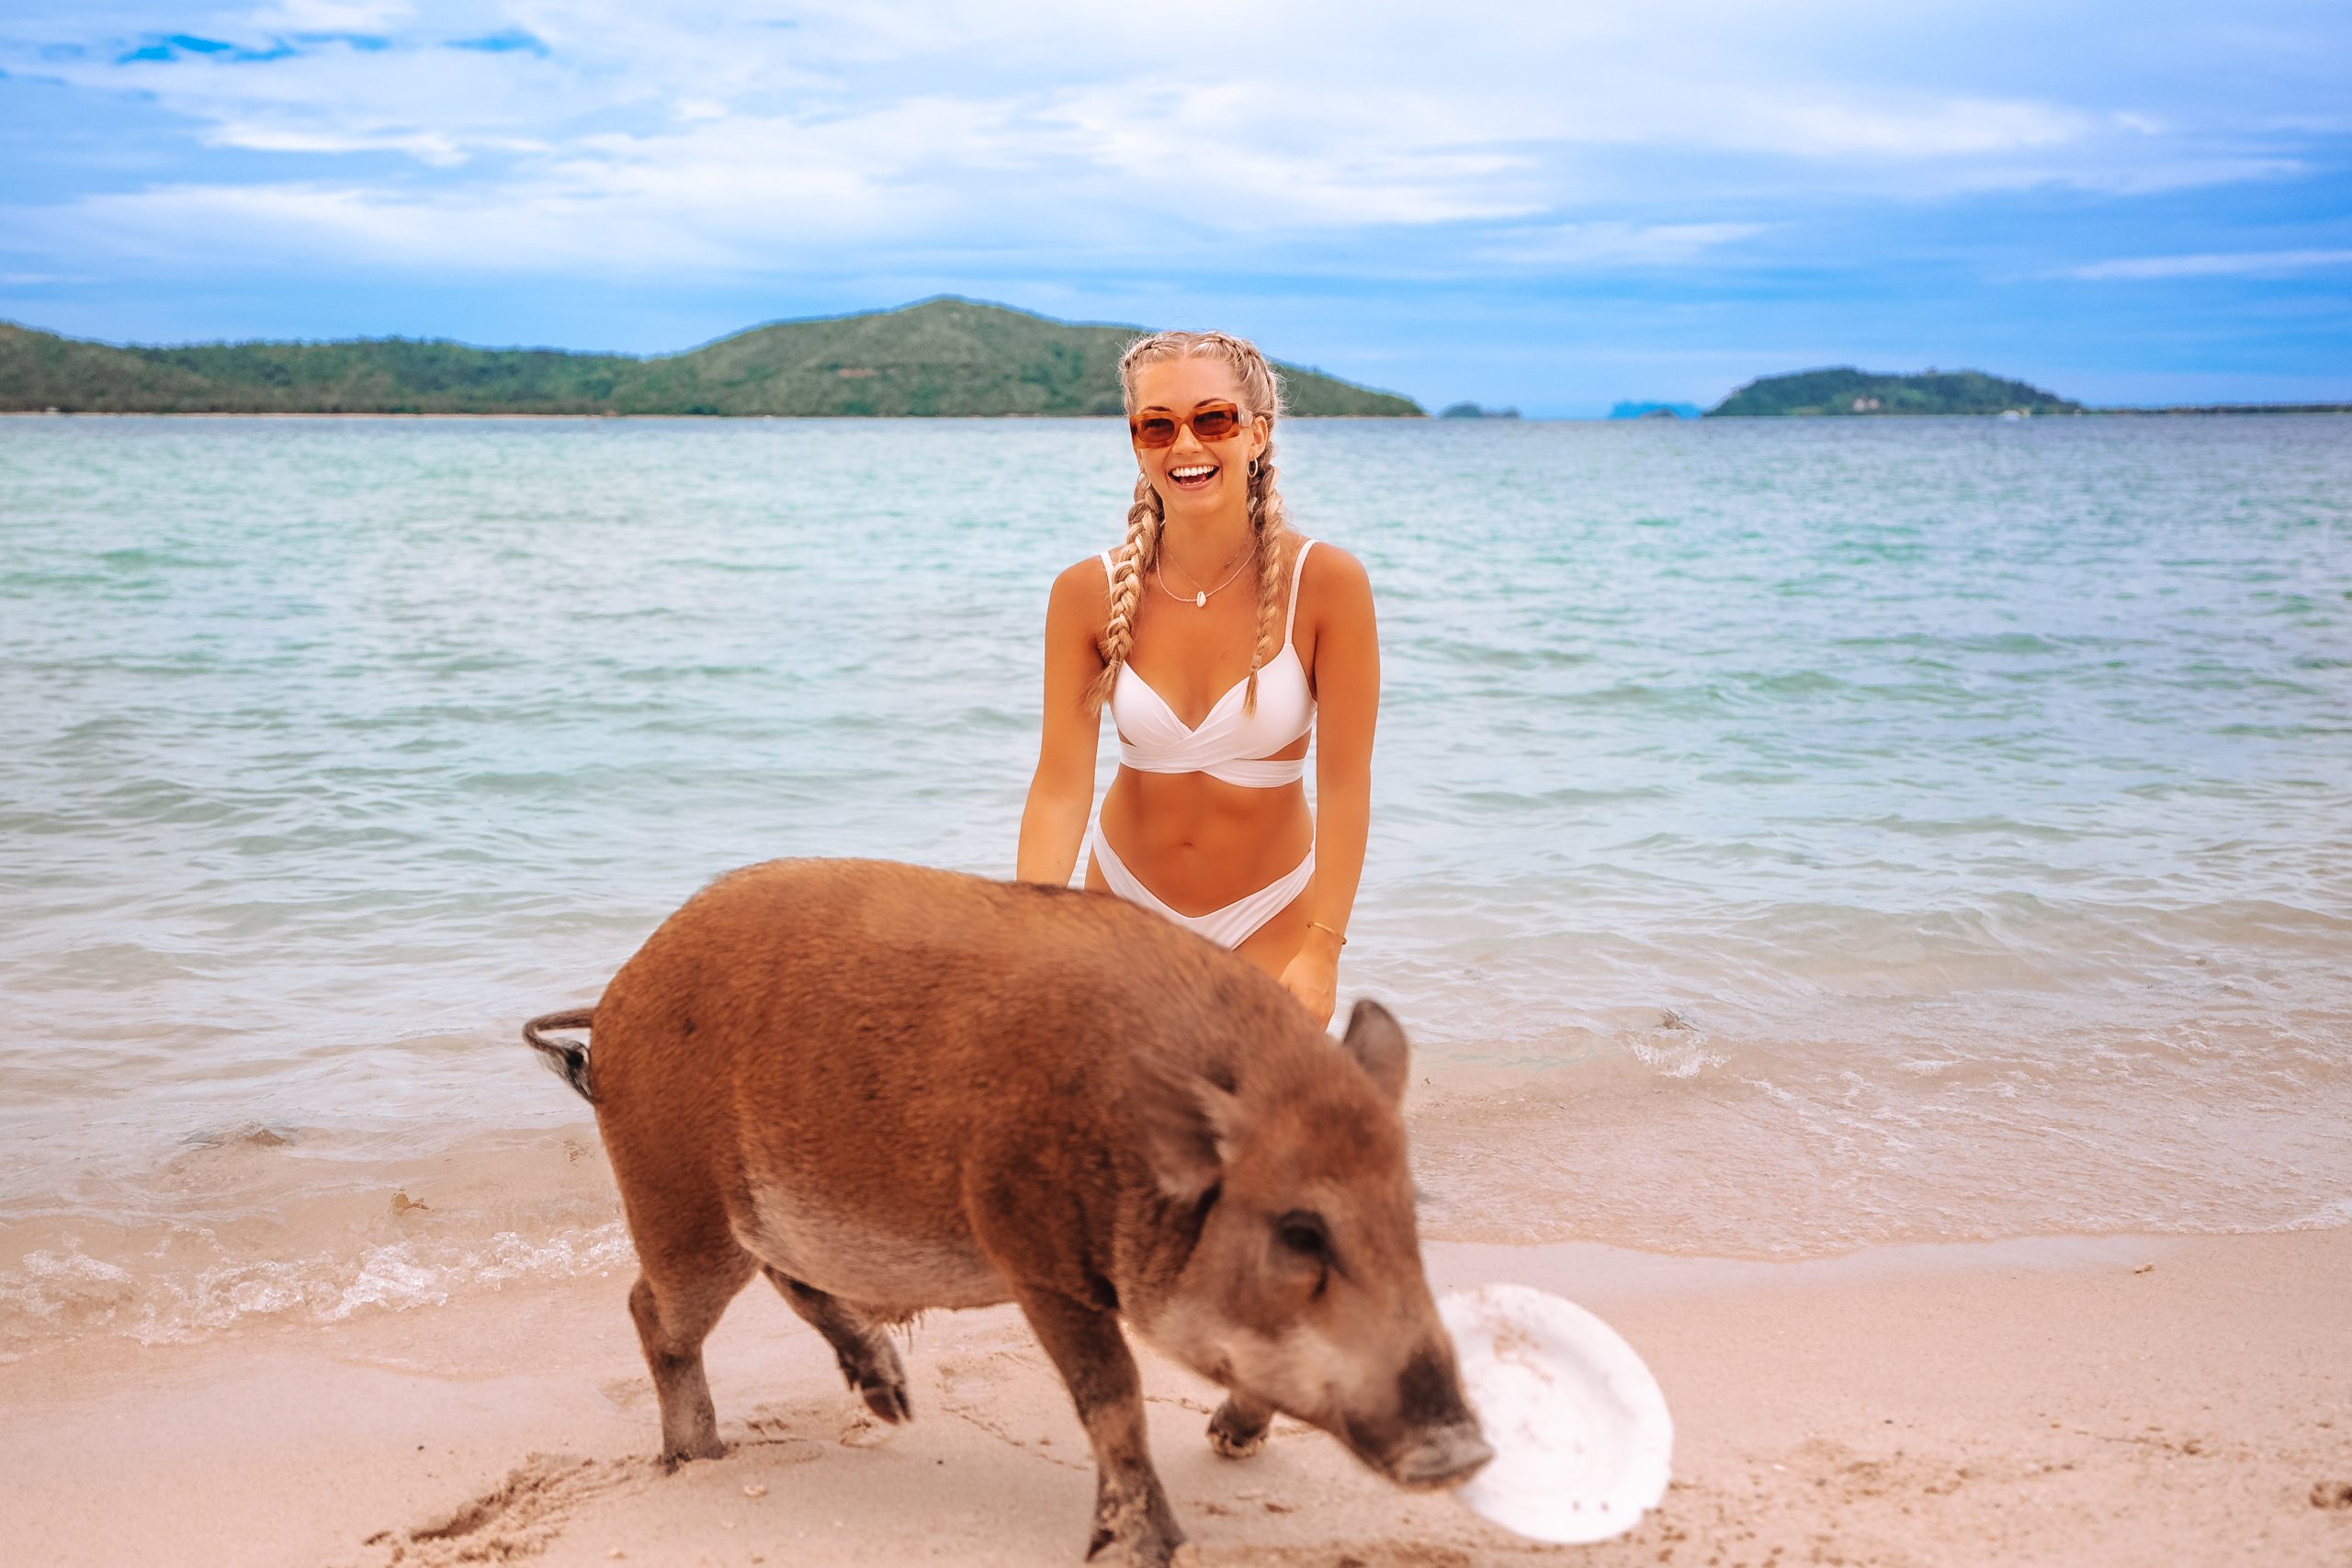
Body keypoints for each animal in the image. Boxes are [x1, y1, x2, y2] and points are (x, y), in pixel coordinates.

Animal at [531, 864, 1486, 1561]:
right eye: (1299, 1231)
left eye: (1407, 1214)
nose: (1467, 1450)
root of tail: (610, 1004)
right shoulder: (1034, 1256)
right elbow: (1113, 1395)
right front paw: (1149, 1547)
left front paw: (1229, 1446)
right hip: (677, 1197)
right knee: (653, 1309)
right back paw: (699, 1458)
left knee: (786, 1278)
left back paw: (893, 1408)